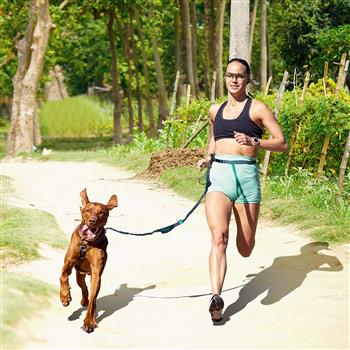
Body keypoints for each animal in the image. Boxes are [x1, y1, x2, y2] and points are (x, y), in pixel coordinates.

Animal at [59, 189, 118, 334]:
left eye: (102, 212)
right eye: (88, 210)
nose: (92, 220)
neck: (86, 243)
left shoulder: (96, 273)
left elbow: (92, 302)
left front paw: (88, 323)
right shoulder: (68, 263)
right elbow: (63, 276)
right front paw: (65, 297)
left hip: (94, 278)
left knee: (92, 297)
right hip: (79, 275)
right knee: (84, 288)